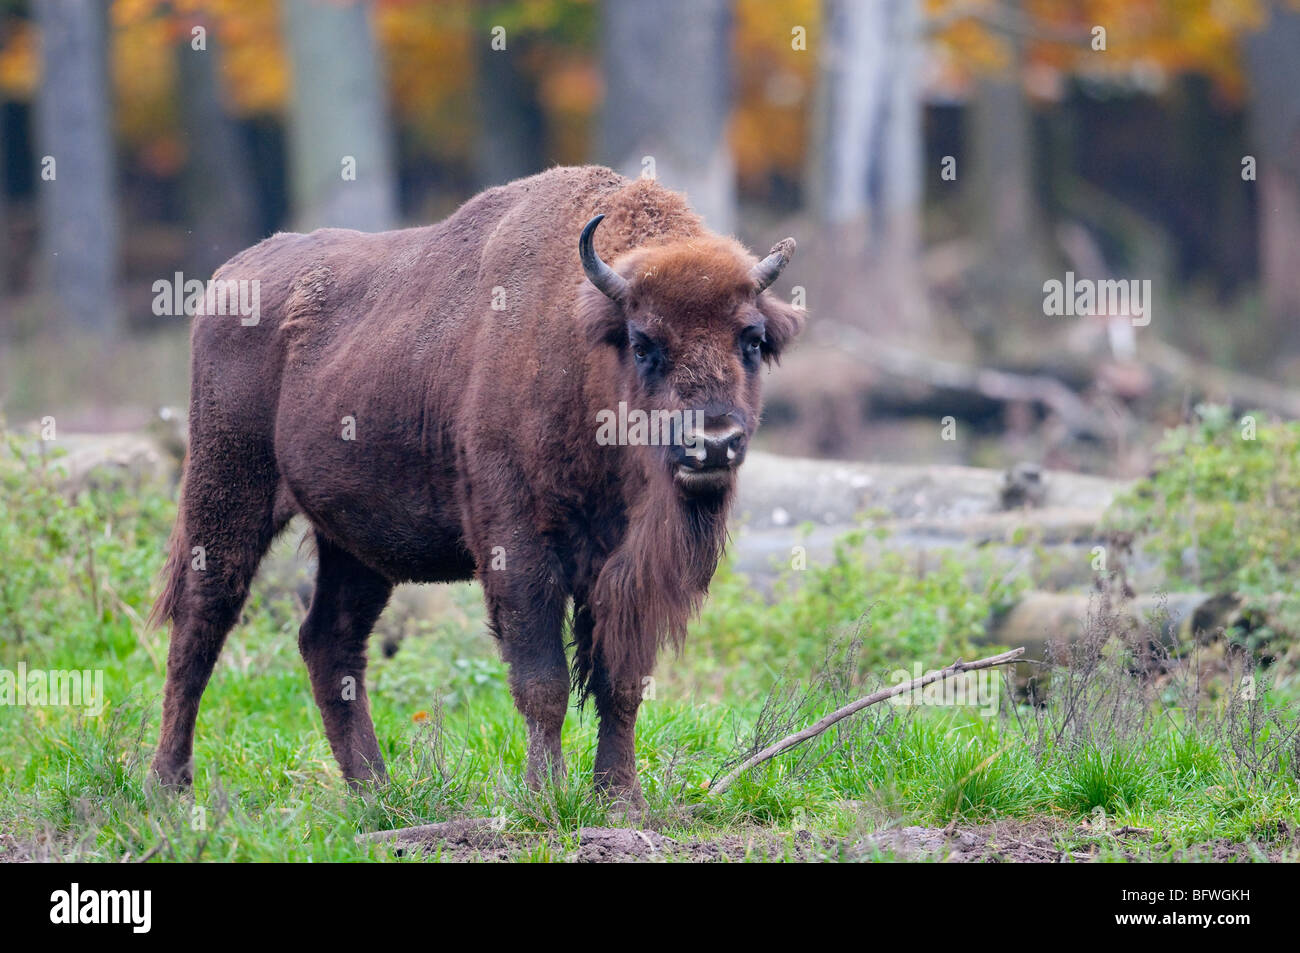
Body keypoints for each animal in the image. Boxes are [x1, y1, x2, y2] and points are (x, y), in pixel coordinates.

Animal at [149, 165, 801, 807]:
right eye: (643, 343)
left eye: (751, 339)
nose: (712, 442)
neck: (583, 352)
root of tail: (229, 278)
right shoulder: (518, 544)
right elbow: (543, 679)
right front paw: (545, 798)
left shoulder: (626, 568)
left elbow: (621, 681)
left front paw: (621, 799)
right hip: (227, 490)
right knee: (200, 623)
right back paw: (169, 786)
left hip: (355, 545)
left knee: (329, 640)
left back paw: (375, 791)